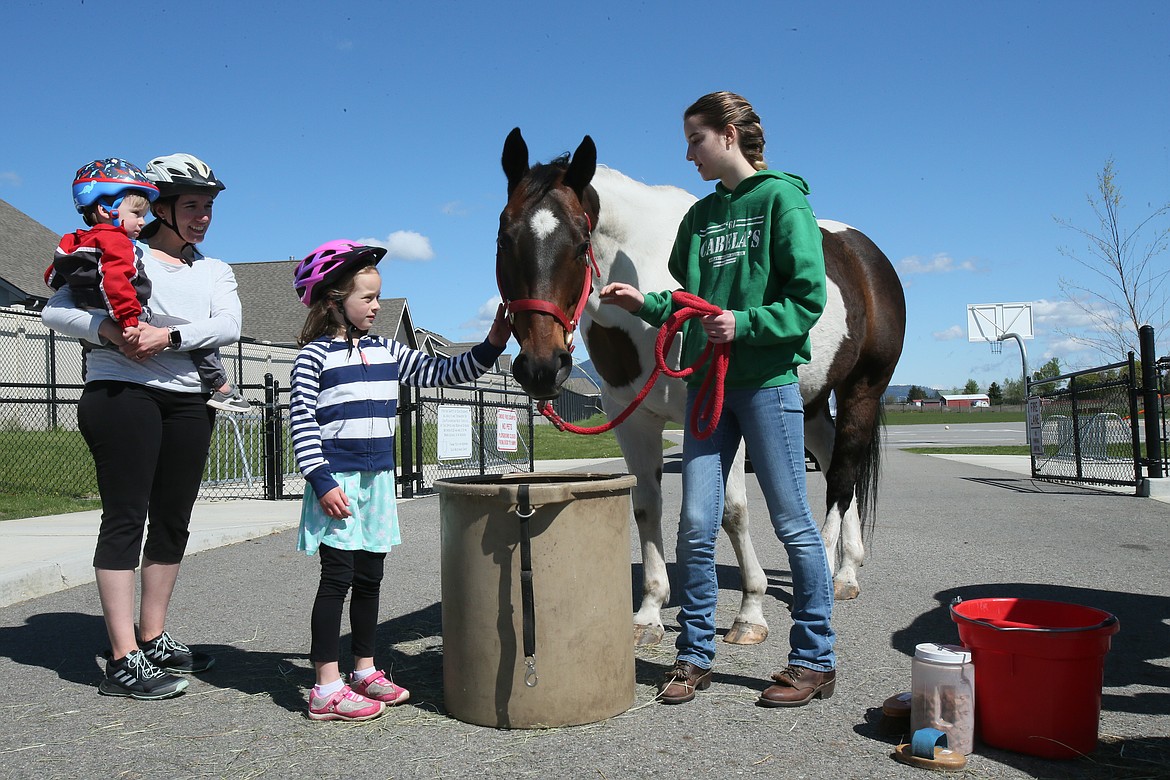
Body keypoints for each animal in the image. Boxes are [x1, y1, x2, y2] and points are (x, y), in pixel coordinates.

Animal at [493, 129, 903, 645]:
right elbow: (647, 505)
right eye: (504, 238)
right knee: (833, 464)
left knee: (845, 474)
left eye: (580, 241)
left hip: (862, 390)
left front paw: (750, 611)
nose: (542, 367)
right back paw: (846, 567)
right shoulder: (633, 419)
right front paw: (649, 612)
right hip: (807, 405)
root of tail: (867, 255)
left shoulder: (721, 412)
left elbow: (733, 511)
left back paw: (834, 574)